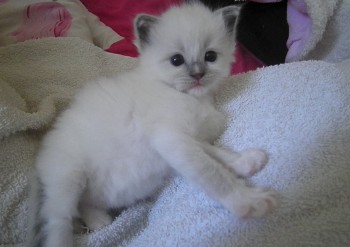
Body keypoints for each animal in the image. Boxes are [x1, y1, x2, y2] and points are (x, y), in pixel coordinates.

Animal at [26, 2, 278, 247]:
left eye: (210, 56)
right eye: (177, 60)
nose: (198, 74)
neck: (190, 97)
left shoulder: (190, 139)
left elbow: (217, 154)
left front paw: (246, 161)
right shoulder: (172, 140)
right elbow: (213, 173)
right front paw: (249, 201)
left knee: (83, 205)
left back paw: (99, 221)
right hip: (69, 179)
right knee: (59, 222)